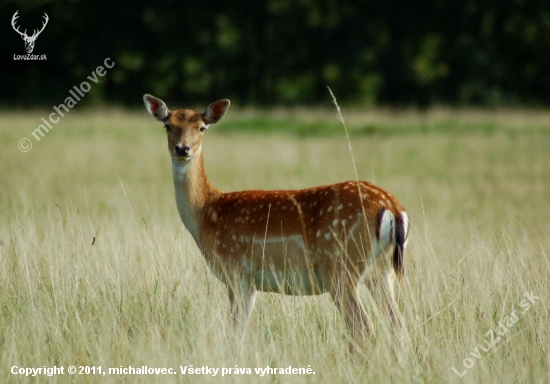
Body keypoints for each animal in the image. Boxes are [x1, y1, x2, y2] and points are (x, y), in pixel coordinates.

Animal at [144, 94, 412, 350]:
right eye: (168, 125)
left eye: (202, 127)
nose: (182, 148)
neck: (206, 213)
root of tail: (393, 208)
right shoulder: (249, 281)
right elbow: (242, 331)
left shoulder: (234, 269)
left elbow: (235, 331)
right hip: (382, 270)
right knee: (396, 324)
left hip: (341, 265)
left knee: (363, 326)